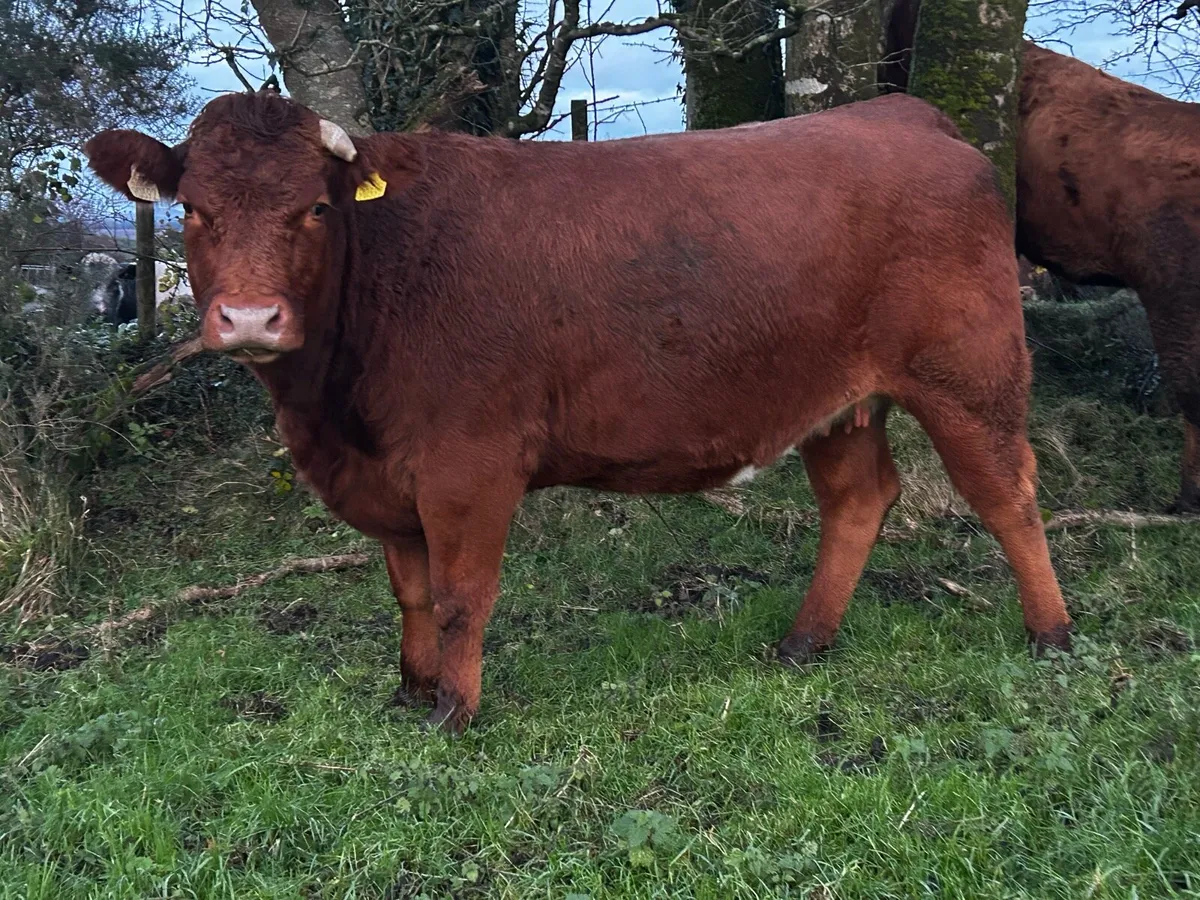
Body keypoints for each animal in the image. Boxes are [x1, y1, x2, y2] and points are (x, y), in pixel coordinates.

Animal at [85, 89, 1071, 732]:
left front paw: (455, 712)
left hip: (969, 374)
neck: (334, 411)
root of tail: (901, 113)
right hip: (837, 401)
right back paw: (804, 642)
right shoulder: (389, 478)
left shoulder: (470, 465)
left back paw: (1052, 634)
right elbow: (410, 591)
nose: (251, 319)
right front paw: (409, 693)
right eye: (195, 211)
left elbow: (460, 596)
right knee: (859, 500)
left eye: (317, 210)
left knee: (1008, 495)